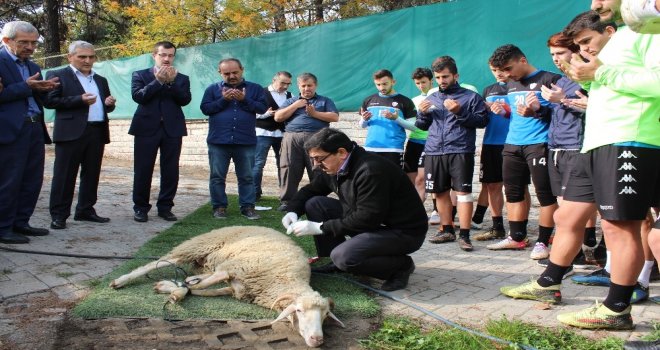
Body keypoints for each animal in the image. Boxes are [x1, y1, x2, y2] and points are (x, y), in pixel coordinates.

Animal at [108, 226, 346, 348]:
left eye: (325, 315)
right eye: (298, 310)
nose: (318, 339)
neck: (283, 278)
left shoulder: (235, 287)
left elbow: (199, 288)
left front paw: (173, 289)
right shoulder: (232, 268)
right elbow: (203, 284)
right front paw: (174, 291)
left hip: (207, 261)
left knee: (192, 274)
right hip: (200, 245)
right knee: (164, 261)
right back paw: (121, 280)